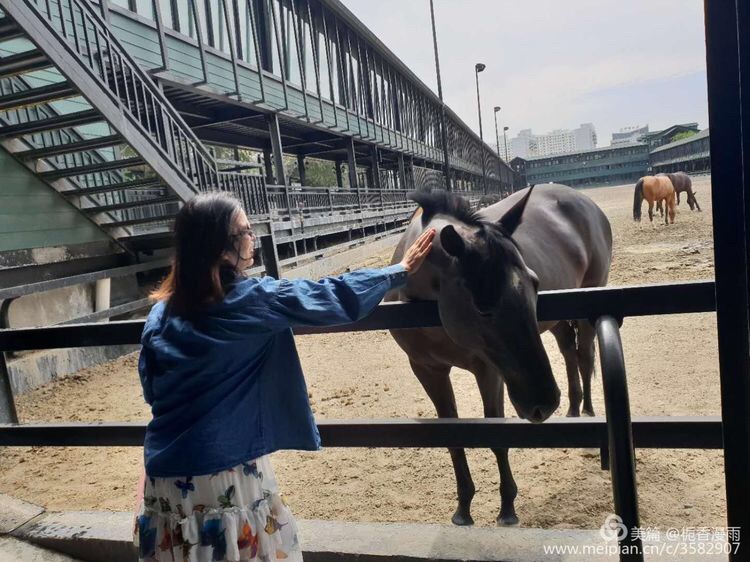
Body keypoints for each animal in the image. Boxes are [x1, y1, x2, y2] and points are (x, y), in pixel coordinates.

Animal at [390, 184, 612, 524]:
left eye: (535, 284)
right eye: (483, 307)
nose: (543, 403)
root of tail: (586, 202)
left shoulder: (488, 370)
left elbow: (496, 435)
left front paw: (507, 507)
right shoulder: (427, 370)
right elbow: (452, 437)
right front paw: (463, 508)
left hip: (588, 302)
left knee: (585, 356)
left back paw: (586, 413)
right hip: (558, 322)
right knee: (568, 352)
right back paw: (573, 410)